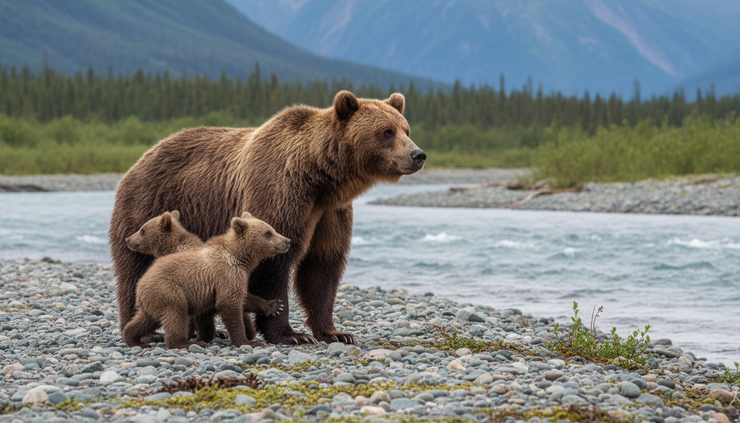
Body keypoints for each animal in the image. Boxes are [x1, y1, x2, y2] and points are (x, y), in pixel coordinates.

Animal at [122, 213, 292, 349]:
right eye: (268, 233)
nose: (287, 240)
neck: (240, 258)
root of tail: (140, 285)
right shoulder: (226, 274)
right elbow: (229, 304)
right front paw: (249, 342)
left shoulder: (231, 278)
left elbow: (243, 298)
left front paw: (274, 306)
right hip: (169, 291)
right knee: (175, 314)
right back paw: (185, 342)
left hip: (155, 300)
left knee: (147, 320)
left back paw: (134, 339)